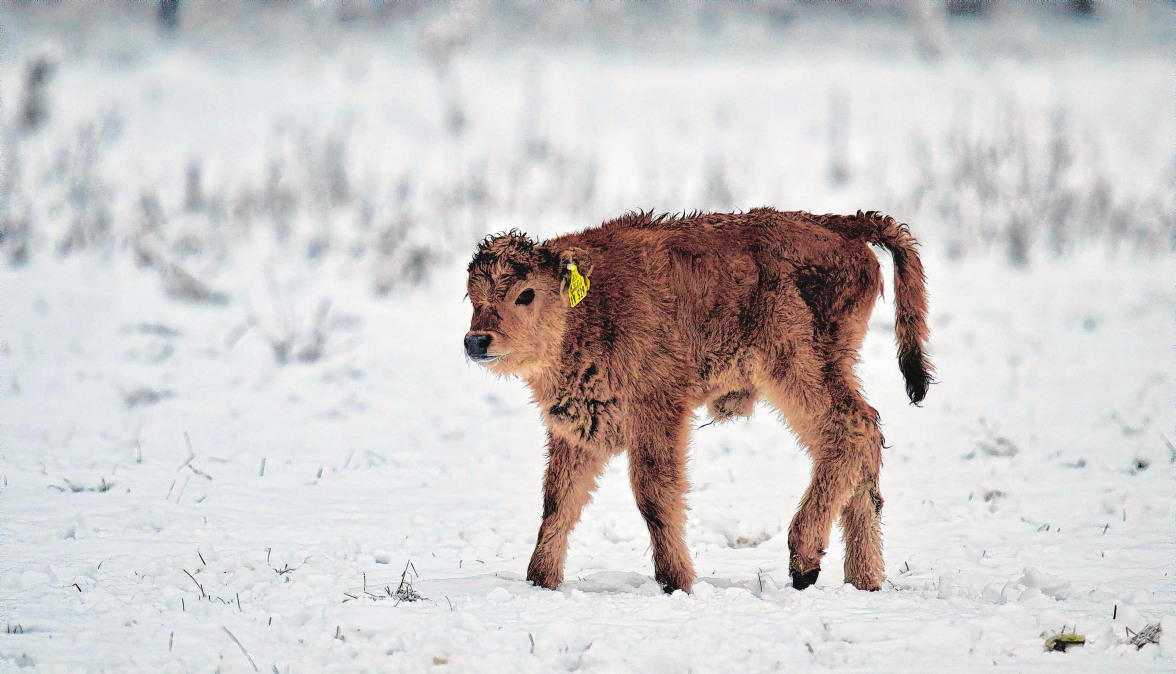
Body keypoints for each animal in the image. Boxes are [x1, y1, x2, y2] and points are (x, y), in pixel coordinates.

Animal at [463, 208, 931, 590]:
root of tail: (843, 224)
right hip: (831, 370)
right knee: (861, 443)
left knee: (852, 430)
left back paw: (804, 560)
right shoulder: (577, 429)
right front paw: (540, 579)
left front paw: (676, 580)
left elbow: (653, 494)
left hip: (797, 369)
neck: (590, 306)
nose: (476, 341)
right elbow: (558, 501)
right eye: (472, 296)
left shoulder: (659, 412)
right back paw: (863, 579)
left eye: (525, 293)